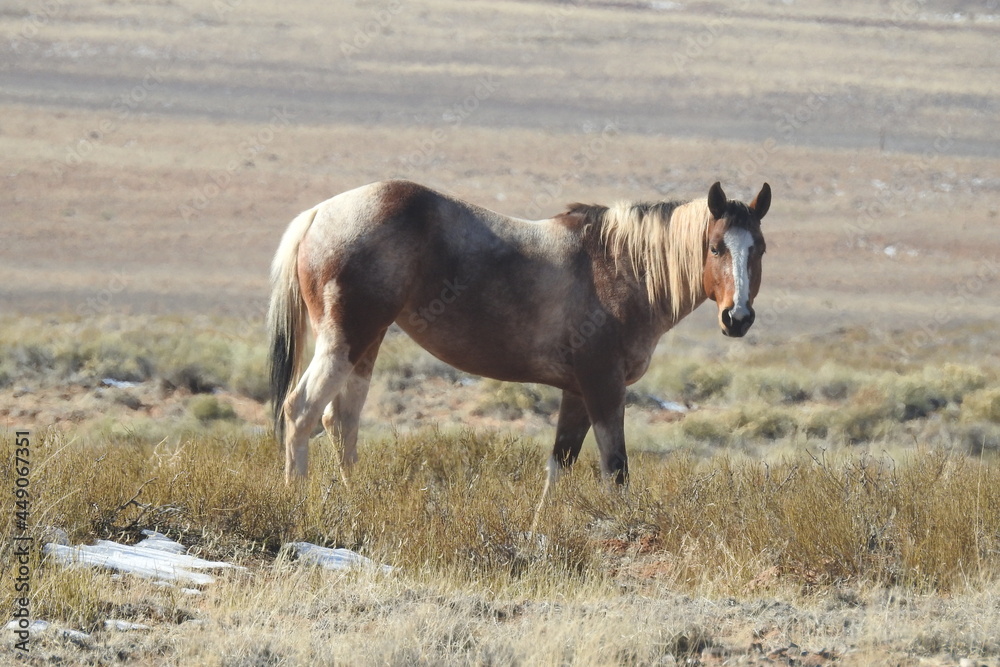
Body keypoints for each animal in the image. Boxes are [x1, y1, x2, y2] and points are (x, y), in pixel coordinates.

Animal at [267, 179, 770, 498]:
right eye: (715, 247)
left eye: (759, 248)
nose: (738, 318)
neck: (620, 265)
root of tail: (318, 215)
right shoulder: (604, 386)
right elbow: (616, 470)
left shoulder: (576, 392)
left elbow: (559, 466)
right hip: (344, 341)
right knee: (301, 410)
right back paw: (297, 500)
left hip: (367, 344)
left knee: (341, 421)